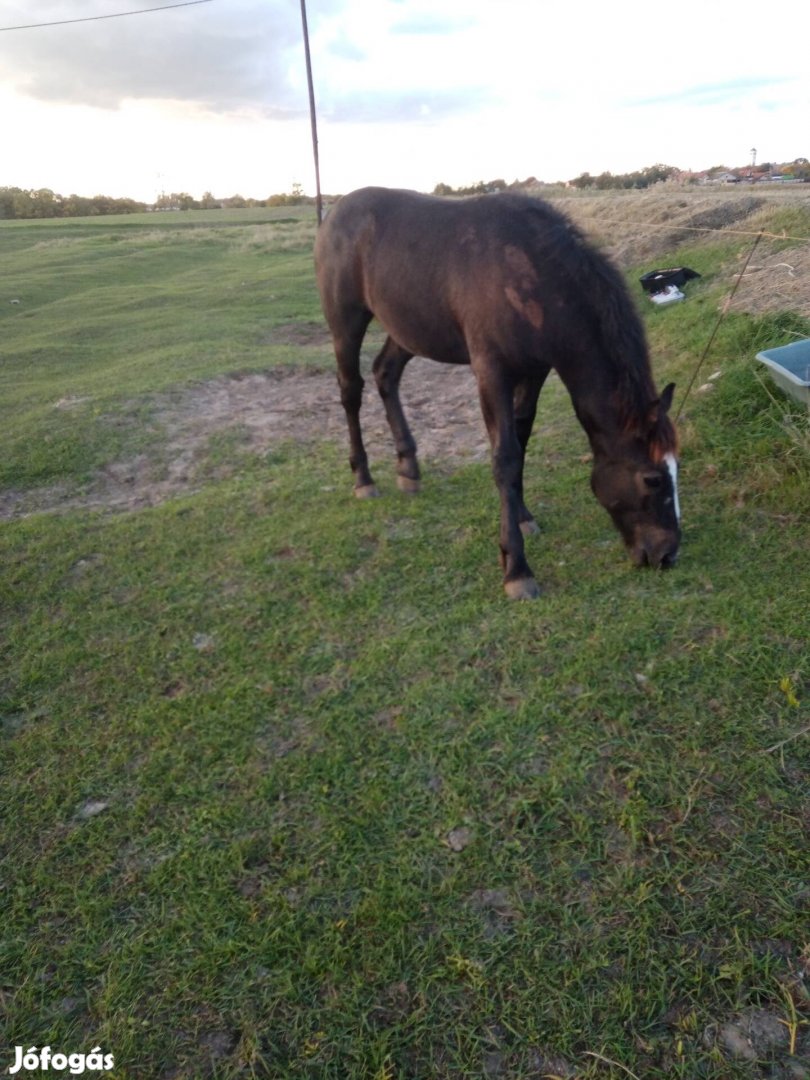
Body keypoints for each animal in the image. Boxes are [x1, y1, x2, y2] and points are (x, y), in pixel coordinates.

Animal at [313, 185, 682, 600]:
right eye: (652, 479)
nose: (667, 553)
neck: (531, 274)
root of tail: (335, 213)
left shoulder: (534, 371)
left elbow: (520, 442)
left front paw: (522, 518)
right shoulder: (492, 373)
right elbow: (504, 457)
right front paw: (517, 569)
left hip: (408, 329)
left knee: (386, 375)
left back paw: (408, 468)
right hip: (346, 324)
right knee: (351, 391)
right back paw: (364, 479)